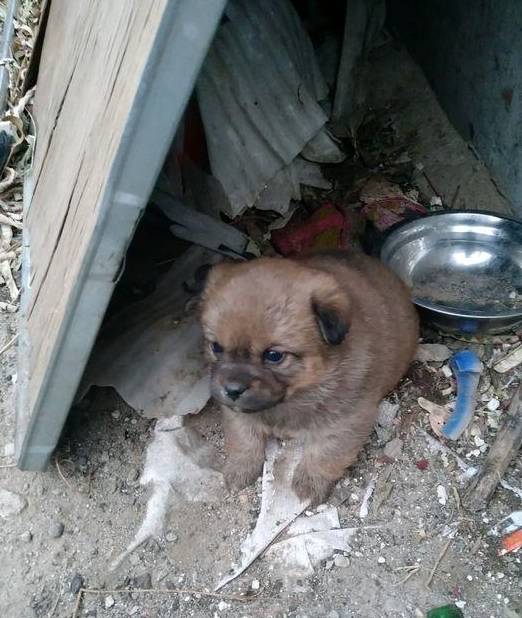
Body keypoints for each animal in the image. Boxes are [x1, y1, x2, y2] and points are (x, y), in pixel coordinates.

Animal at [199, 248, 418, 502]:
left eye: (274, 355)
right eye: (216, 347)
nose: (232, 390)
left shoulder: (347, 418)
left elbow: (325, 453)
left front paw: (311, 483)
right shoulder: (238, 413)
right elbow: (244, 438)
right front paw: (239, 468)